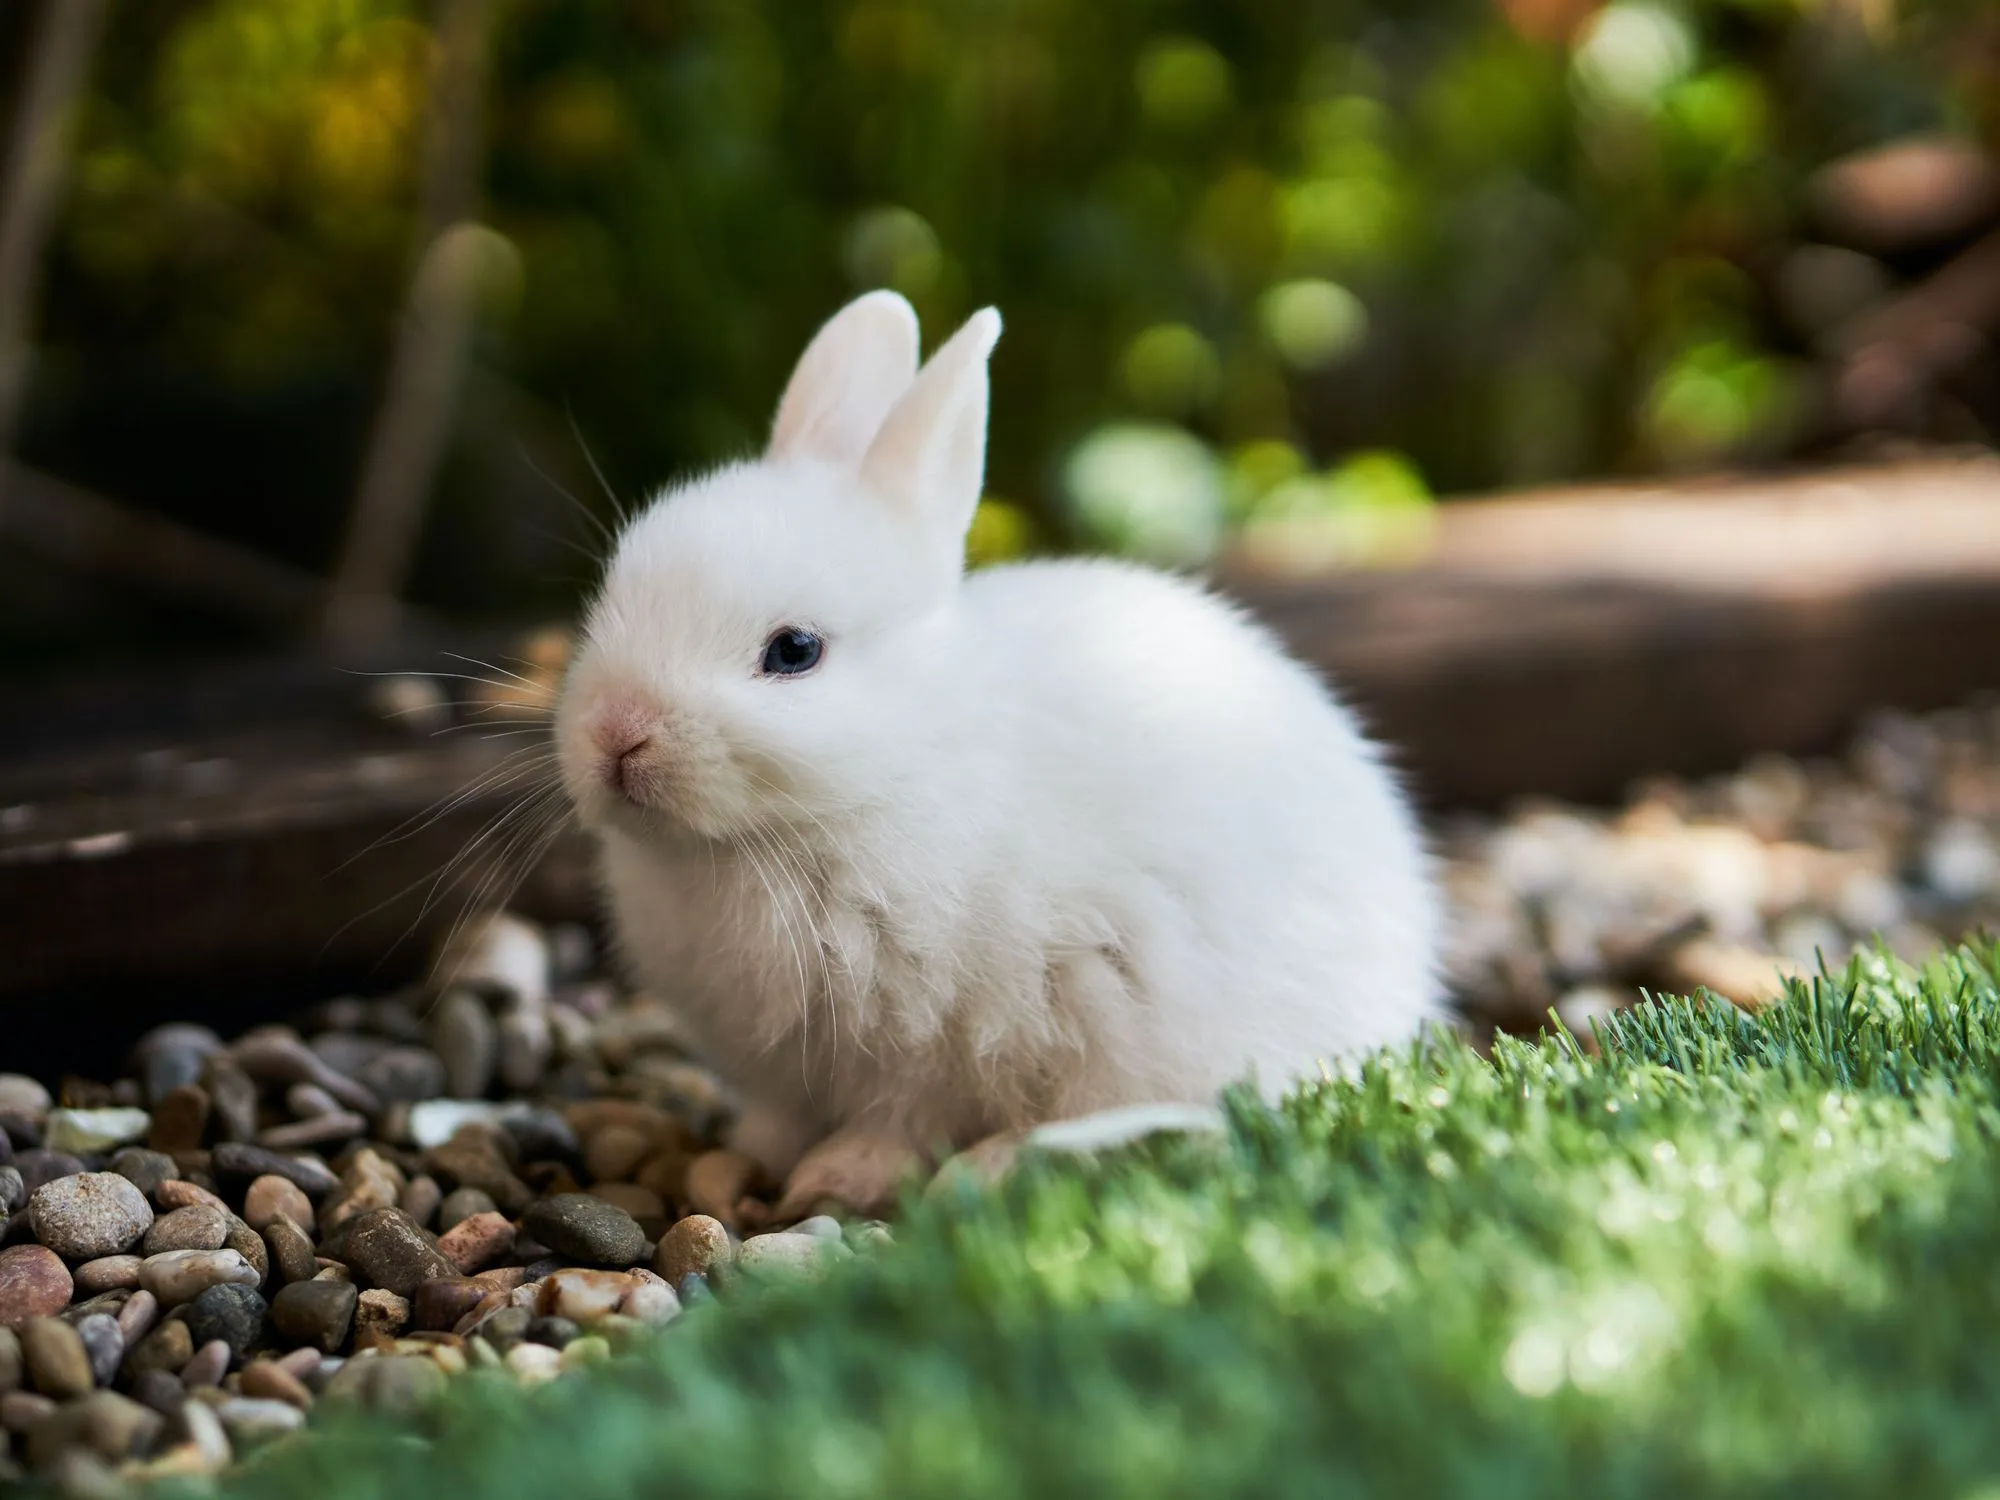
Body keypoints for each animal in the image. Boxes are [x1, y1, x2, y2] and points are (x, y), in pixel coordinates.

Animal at [556, 294, 1448, 1224]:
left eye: (795, 651)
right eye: (612, 597)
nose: (617, 733)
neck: (888, 772)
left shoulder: (935, 1043)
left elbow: (901, 1119)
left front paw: (838, 1178)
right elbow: (778, 1118)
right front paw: (743, 1159)